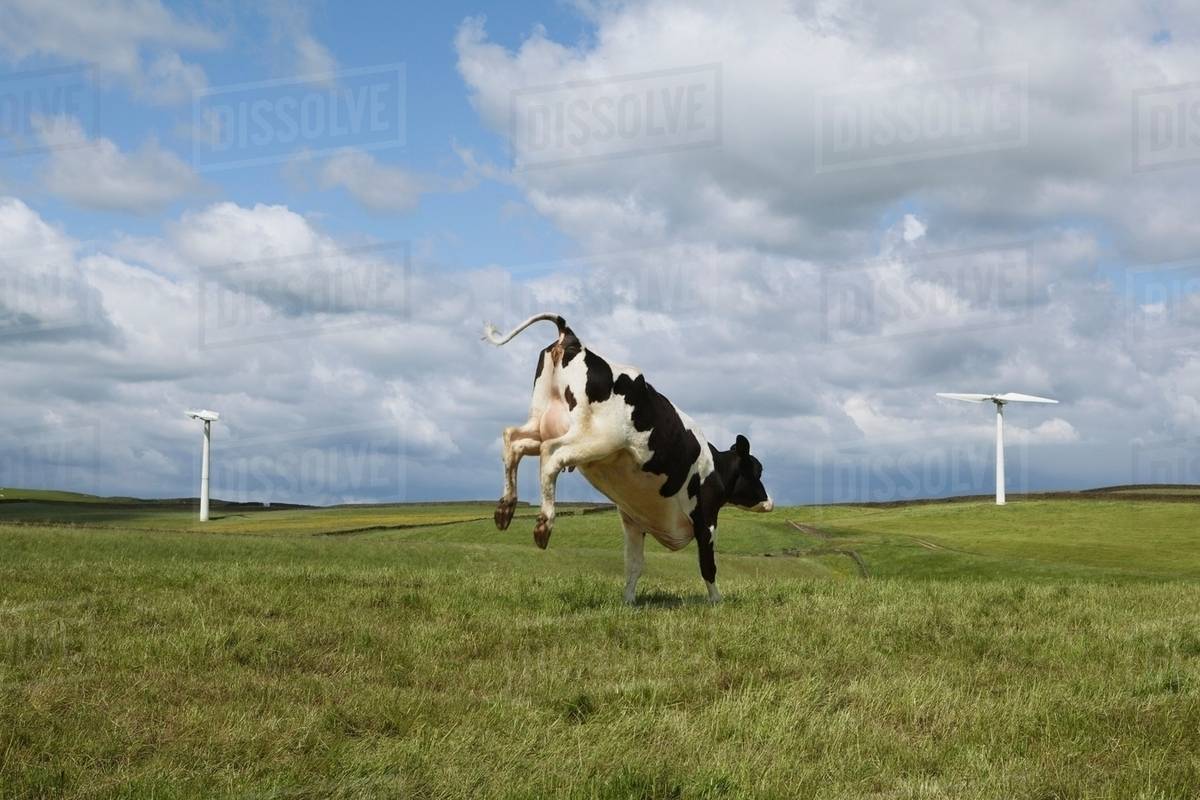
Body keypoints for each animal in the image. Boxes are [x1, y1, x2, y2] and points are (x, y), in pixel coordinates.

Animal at [483, 312, 773, 604]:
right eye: (757, 470)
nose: (770, 501)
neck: (714, 468)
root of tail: (573, 339)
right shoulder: (706, 519)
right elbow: (708, 566)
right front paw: (716, 601)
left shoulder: (634, 522)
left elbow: (634, 564)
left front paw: (629, 601)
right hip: (594, 437)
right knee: (551, 454)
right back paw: (543, 525)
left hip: (541, 422)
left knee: (513, 440)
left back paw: (505, 510)